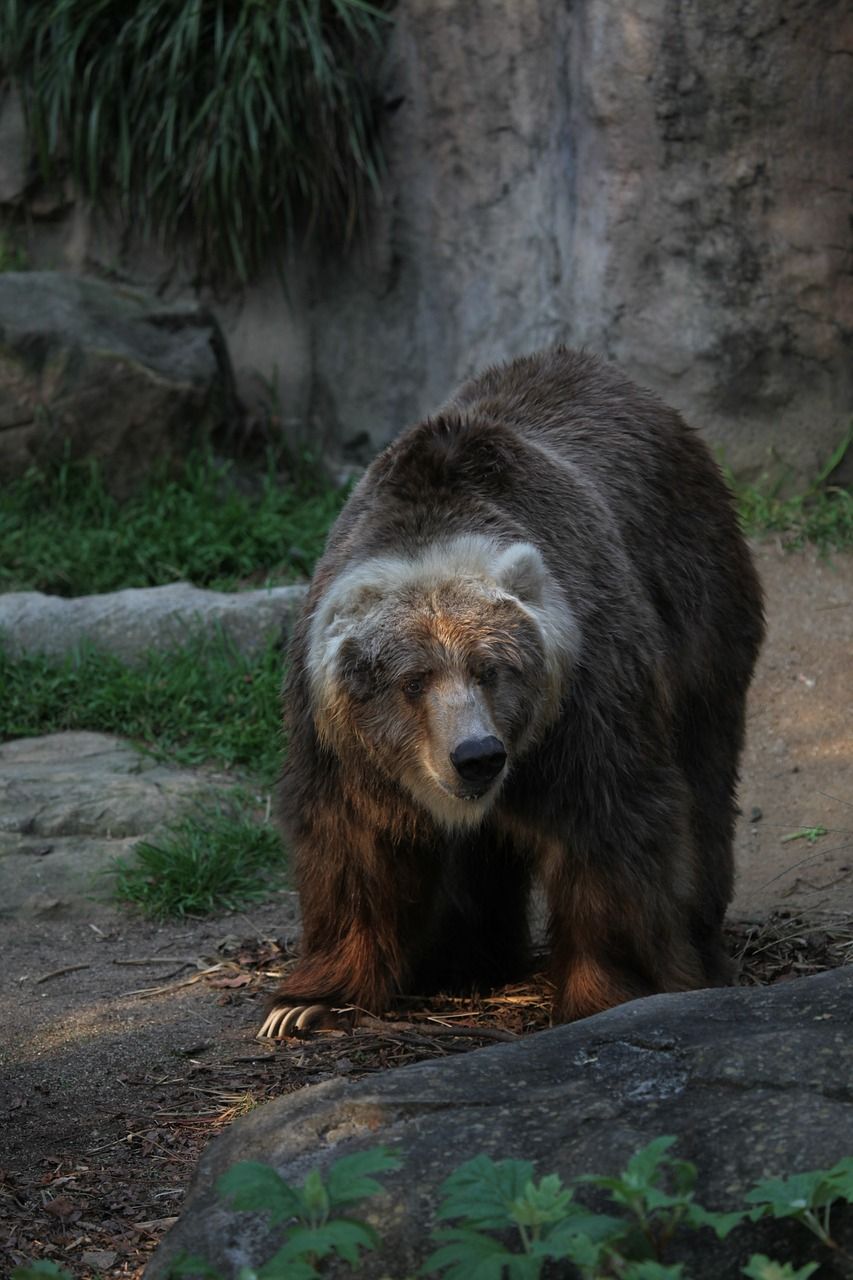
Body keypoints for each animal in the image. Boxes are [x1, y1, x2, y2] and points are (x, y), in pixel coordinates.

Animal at [256, 348, 758, 1039]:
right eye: (413, 681)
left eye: (491, 669)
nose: (477, 756)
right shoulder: (337, 742)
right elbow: (354, 844)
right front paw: (306, 1003)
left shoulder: (586, 698)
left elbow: (611, 829)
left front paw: (609, 990)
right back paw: (465, 959)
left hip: (697, 603)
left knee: (703, 777)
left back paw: (700, 941)